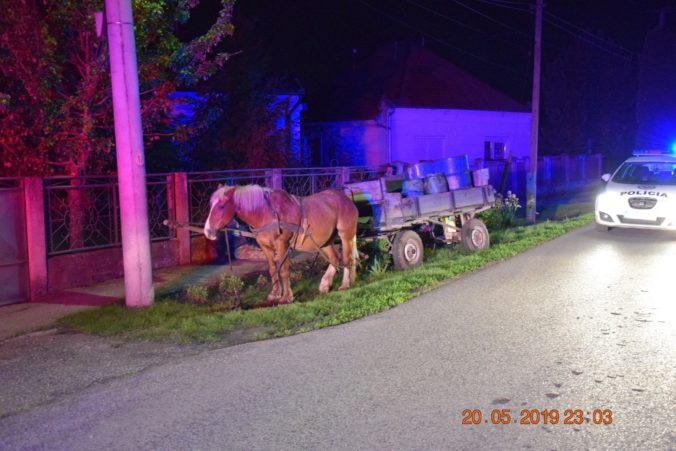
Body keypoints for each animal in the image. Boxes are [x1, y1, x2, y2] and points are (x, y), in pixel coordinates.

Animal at [205, 185, 360, 308]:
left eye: (222, 206)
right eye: (210, 205)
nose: (208, 232)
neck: (266, 213)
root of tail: (346, 199)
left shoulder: (282, 244)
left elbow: (284, 270)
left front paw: (287, 297)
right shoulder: (265, 246)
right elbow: (273, 269)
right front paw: (274, 293)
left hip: (346, 235)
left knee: (347, 259)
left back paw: (345, 284)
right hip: (324, 241)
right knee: (335, 258)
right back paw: (325, 284)